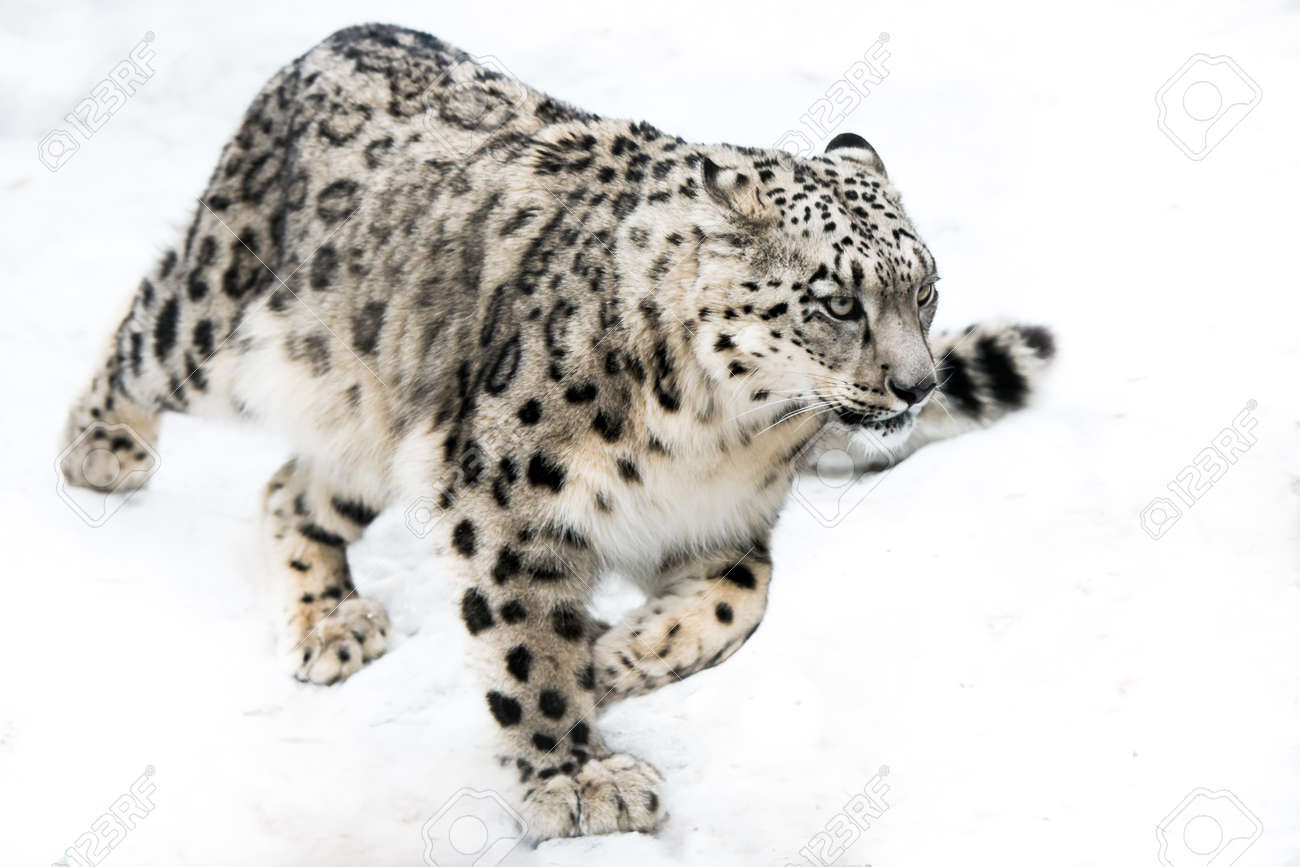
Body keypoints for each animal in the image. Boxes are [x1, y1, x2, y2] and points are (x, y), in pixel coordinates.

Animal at [57, 23, 1054, 840]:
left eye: (926, 291)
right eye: (839, 301)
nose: (917, 384)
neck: (726, 435)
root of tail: (334, 39)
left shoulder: (719, 523)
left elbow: (738, 602)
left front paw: (616, 656)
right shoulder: (505, 502)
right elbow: (528, 645)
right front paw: (580, 779)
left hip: (378, 420)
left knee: (289, 490)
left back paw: (330, 618)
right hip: (216, 318)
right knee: (144, 331)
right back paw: (103, 451)